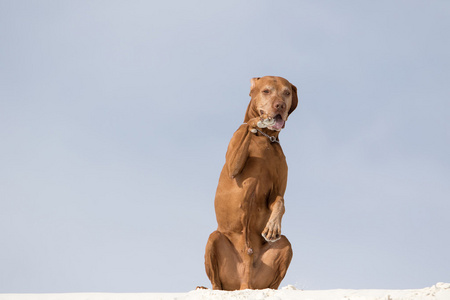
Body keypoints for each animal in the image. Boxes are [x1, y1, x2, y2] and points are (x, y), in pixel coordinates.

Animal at [205, 76, 298, 290]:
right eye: (266, 91)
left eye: (287, 92)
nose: (279, 105)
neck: (265, 139)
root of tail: (244, 282)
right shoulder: (233, 165)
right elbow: (247, 126)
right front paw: (256, 121)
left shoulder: (276, 191)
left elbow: (280, 201)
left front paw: (272, 226)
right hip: (214, 239)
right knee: (216, 284)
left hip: (285, 247)